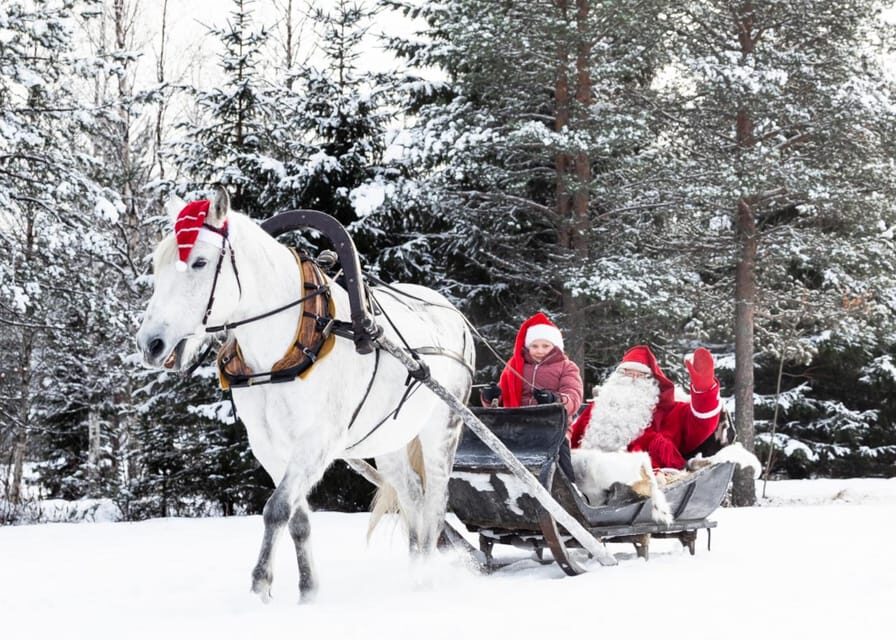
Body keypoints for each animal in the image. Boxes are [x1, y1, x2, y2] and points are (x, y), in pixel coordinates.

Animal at [136, 188, 474, 602]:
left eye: (199, 261)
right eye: (157, 266)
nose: (150, 343)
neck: (284, 349)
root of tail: (451, 313)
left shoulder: (316, 440)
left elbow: (277, 508)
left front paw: (260, 585)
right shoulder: (268, 445)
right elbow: (298, 518)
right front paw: (308, 590)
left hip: (443, 429)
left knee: (435, 502)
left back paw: (426, 577)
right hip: (388, 439)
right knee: (411, 494)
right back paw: (414, 572)